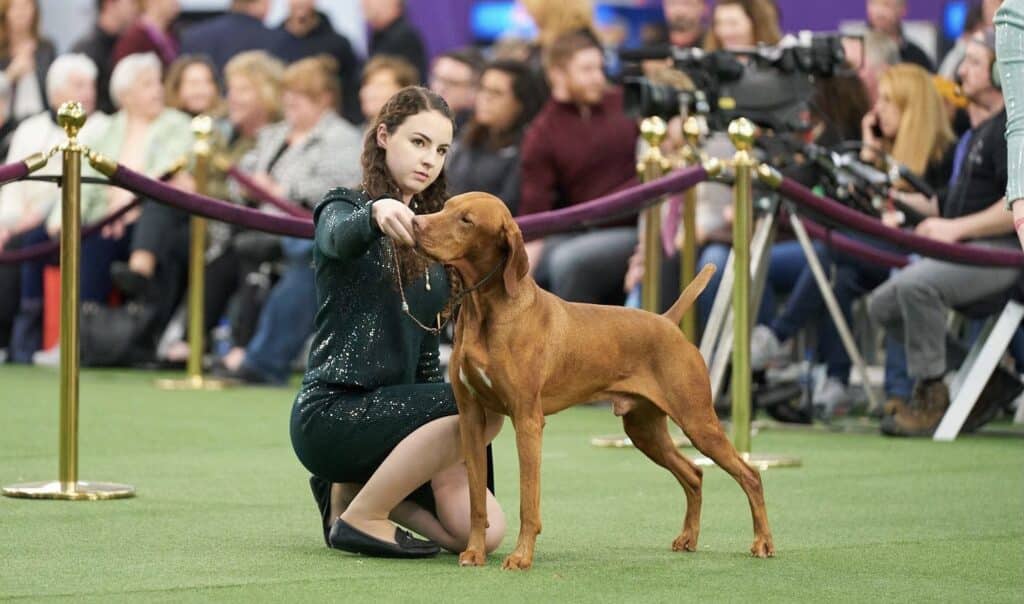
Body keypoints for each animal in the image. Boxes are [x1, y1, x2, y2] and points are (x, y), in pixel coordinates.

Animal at [411, 191, 770, 569]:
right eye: (446, 206)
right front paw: (474, 552)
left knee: (749, 474)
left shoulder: (527, 419)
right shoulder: (470, 417)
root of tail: (668, 322)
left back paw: (762, 542)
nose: (414, 223)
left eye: (466, 220)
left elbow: (528, 501)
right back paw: (689, 538)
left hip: (698, 421)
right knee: (694, 474)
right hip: (644, 429)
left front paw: (521, 557)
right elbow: (476, 500)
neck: (488, 310)